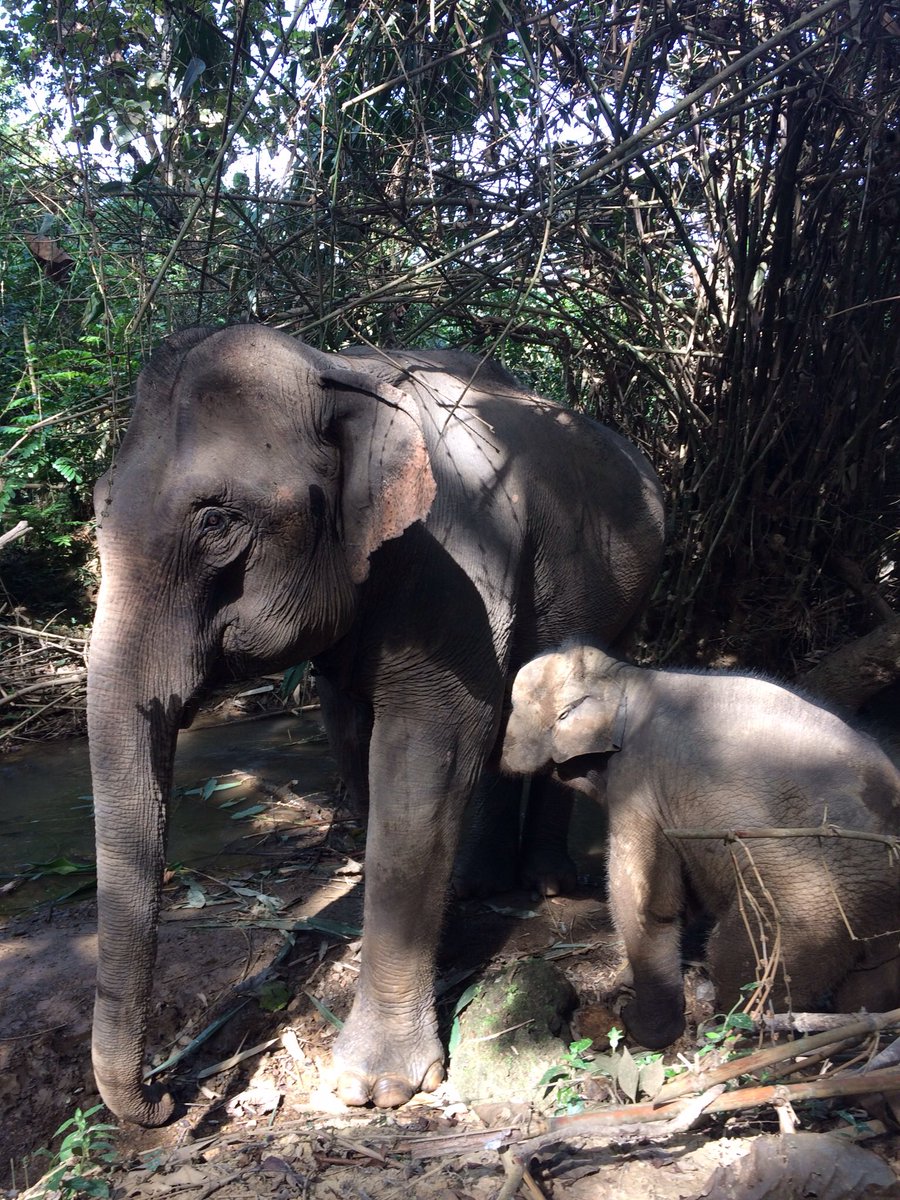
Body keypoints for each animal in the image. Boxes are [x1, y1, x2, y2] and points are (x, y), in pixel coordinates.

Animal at [87, 324, 665, 1124]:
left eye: (217, 522)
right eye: (98, 507)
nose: (168, 1096)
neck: (335, 371)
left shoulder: (452, 555)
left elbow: (430, 745)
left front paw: (375, 1088)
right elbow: (352, 731)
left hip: (633, 592)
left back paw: (548, 885)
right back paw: (480, 884)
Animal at [501, 641, 900, 1048]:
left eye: (514, 706)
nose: (501, 754)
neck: (627, 675)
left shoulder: (638, 780)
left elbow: (646, 900)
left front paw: (637, 1025)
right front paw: (625, 983)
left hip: (809, 906)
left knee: (736, 960)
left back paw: (728, 1036)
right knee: (874, 984)